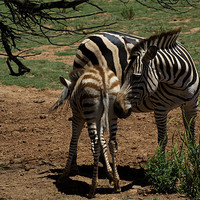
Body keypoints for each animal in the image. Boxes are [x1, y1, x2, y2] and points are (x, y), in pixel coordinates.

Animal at [50, 65, 121, 198]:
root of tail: (103, 78)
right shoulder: (99, 118)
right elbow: (103, 142)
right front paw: (110, 173)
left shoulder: (77, 117)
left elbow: (73, 143)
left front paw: (64, 175)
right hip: (112, 114)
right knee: (112, 143)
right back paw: (117, 184)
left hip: (89, 111)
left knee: (95, 145)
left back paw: (93, 188)